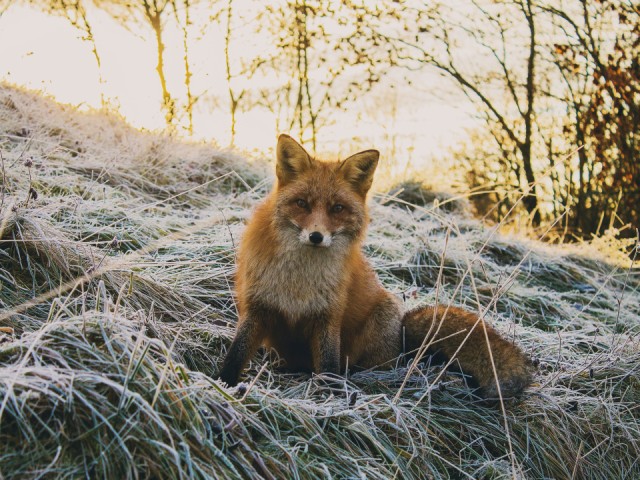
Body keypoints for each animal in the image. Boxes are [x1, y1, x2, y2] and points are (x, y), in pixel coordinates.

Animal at [218, 134, 532, 398]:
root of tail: (402, 339)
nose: (316, 236)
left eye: (337, 208)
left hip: (381, 322)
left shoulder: (328, 316)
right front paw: (222, 385)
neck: (299, 279)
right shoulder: (258, 306)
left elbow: (329, 365)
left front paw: (331, 396)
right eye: (302, 204)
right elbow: (236, 353)